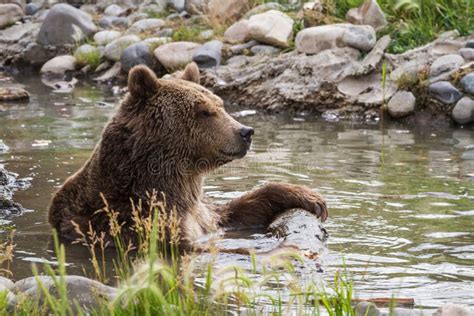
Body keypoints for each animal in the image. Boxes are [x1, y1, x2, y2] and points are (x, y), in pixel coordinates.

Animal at [49, 63, 330, 251]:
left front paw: (311, 198)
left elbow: (239, 211)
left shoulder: (206, 216)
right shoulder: (136, 220)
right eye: (204, 111)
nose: (245, 131)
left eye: (221, 104)